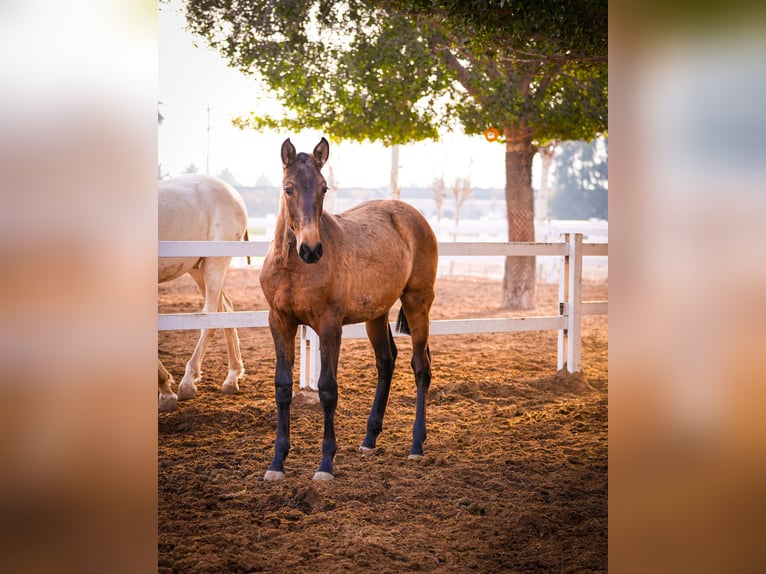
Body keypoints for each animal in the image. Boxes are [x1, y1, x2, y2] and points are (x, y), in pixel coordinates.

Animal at [158, 173, 249, 412]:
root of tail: (233, 193)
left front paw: (166, 390)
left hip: (214, 263)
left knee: (211, 319)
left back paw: (188, 383)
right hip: (197, 268)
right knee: (226, 310)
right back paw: (232, 377)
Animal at [260, 138, 438, 482]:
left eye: (324, 188)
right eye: (289, 189)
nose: (311, 249)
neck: (292, 267)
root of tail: (414, 216)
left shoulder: (330, 325)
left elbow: (328, 389)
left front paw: (326, 464)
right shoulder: (280, 322)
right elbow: (283, 386)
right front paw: (277, 462)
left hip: (417, 302)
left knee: (420, 366)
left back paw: (416, 445)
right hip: (377, 314)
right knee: (386, 361)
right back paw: (369, 439)